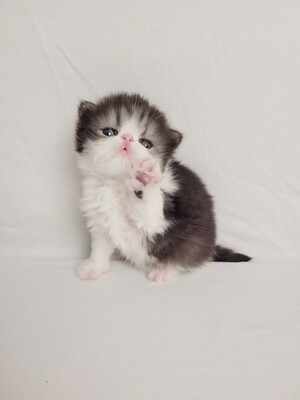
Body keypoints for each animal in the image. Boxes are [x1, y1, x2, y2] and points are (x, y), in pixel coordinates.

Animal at [75, 93, 251, 282]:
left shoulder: (157, 221)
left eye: (145, 143)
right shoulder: (98, 216)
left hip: (193, 240)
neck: (117, 182)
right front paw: (95, 267)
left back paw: (164, 270)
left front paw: (144, 178)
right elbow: (99, 246)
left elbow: (148, 213)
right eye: (109, 132)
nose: (127, 138)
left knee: (184, 258)